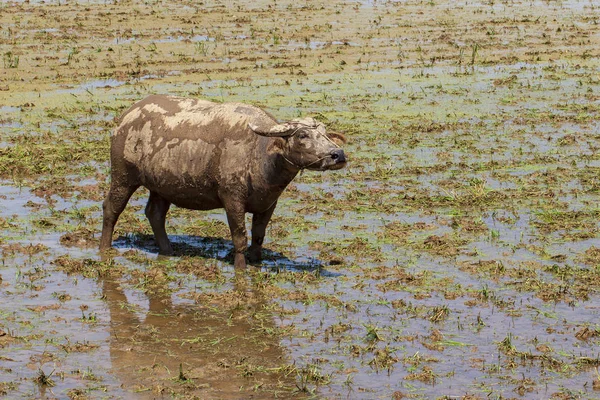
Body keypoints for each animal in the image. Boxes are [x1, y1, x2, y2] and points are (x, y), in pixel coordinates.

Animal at [99, 95, 346, 268]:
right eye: (302, 135)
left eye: (325, 133)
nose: (338, 154)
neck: (258, 156)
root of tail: (125, 120)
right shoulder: (232, 200)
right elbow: (240, 237)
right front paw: (241, 266)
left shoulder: (268, 204)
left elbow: (258, 236)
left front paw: (257, 262)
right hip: (123, 177)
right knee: (111, 208)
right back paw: (104, 247)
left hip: (161, 187)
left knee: (155, 214)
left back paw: (168, 250)